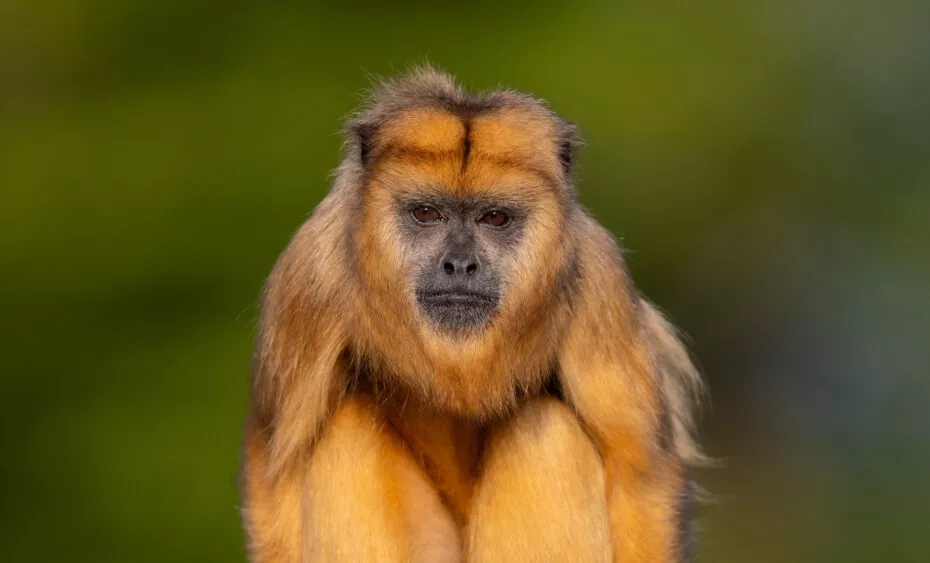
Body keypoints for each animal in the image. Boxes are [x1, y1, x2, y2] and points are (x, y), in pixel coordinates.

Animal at [241, 66, 706, 562]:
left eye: (495, 218)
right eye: (427, 213)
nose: (460, 264)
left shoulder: (598, 281)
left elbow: (641, 475)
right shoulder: (308, 278)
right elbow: (274, 471)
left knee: (544, 430)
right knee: (346, 432)